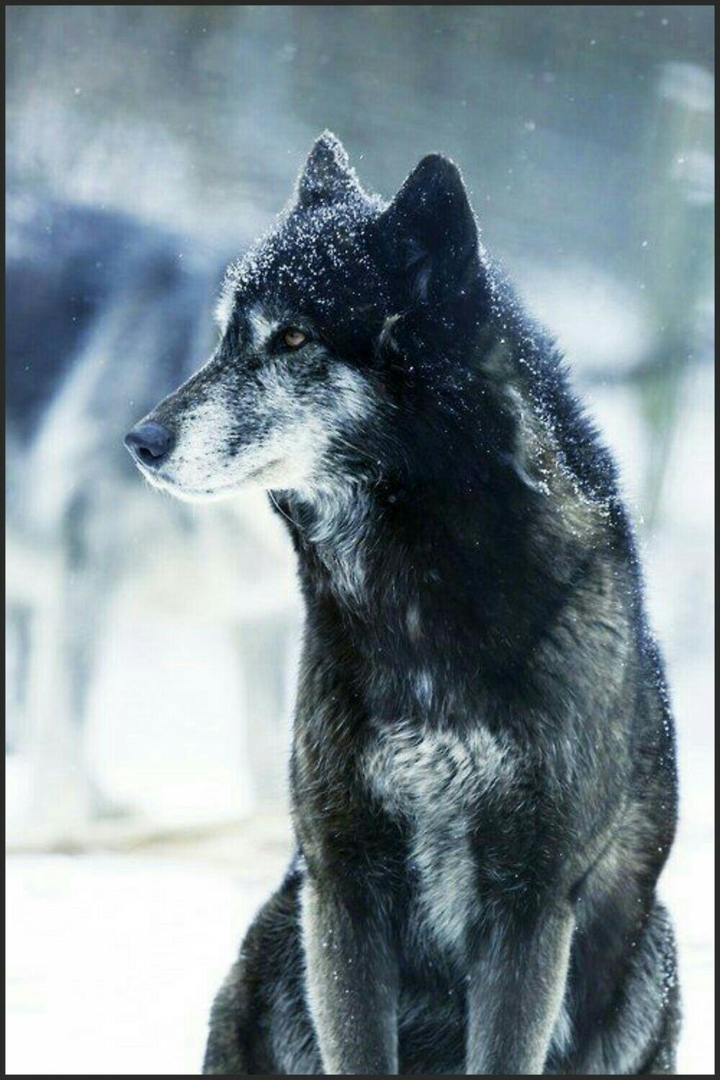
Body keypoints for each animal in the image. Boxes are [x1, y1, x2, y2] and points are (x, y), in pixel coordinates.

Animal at [126, 133, 680, 1074]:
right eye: (225, 337)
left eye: (294, 336)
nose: (142, 440)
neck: (414, 600)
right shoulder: (343, 884)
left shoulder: (529, 905)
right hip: (277, 932)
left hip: (655, 950)